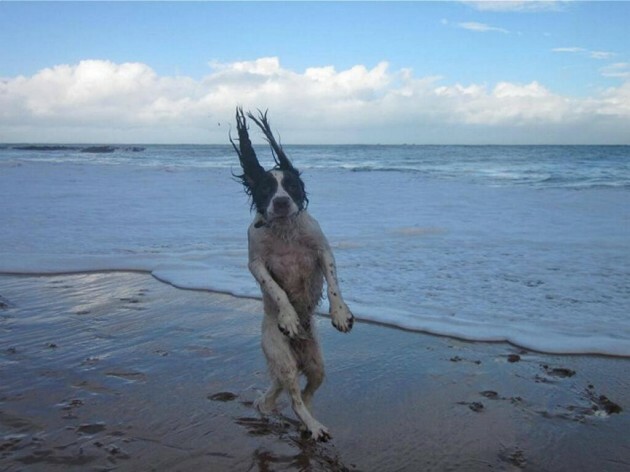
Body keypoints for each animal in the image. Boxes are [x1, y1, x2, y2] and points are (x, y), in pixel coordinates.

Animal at [232, 109, 356, 440]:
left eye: (291, 186)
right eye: (266, 189)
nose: (281, 201)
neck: (284, 230)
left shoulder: (322, 249)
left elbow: (334, 283)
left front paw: (340, 314)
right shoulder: (256, 263)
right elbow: (275, 289)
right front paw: (288, 318)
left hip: (316, 364)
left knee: (305, 393)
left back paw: (304, 421)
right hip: (282, 357)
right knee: (294, 397)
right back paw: (312, 426)